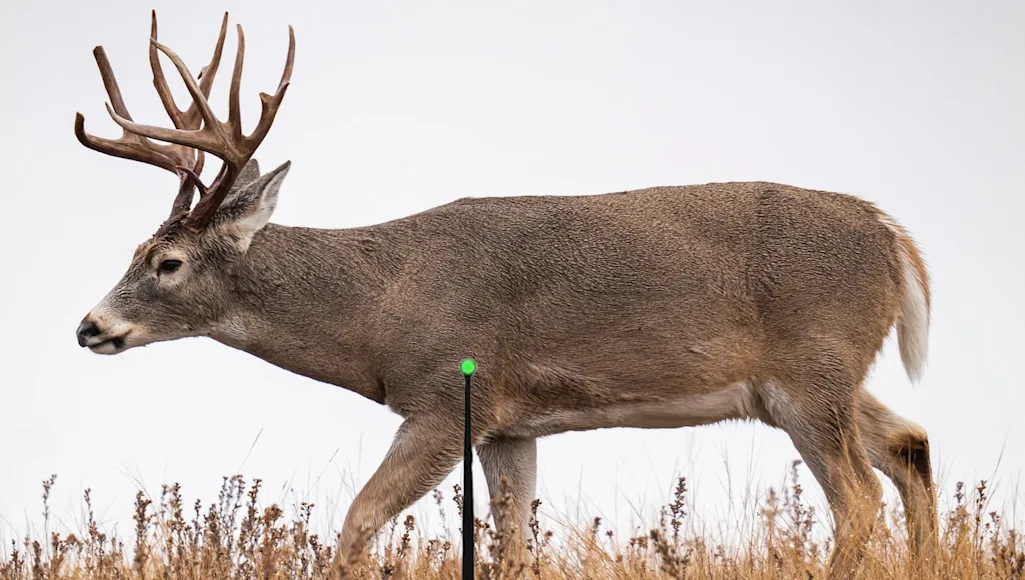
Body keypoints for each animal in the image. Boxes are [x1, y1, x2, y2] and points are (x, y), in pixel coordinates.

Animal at [73, 12, 936, 578]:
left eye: (167, 263)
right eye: (134, 251)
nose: (88, 326)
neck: (378, 308)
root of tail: (892, 235)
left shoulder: (445, 396)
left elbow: (356, 522)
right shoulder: (508, 425)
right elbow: (513, 544)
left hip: (810, 371)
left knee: (858, 498)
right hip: (820, 379)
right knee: (908, 445)